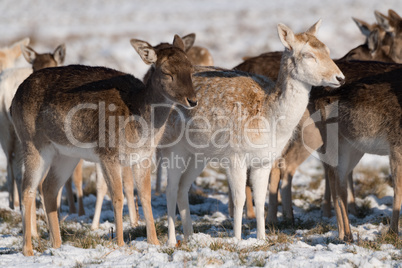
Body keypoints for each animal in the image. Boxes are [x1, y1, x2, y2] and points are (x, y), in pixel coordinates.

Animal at [160, 20, 346, 247]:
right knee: (170, 189)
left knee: (182, 188)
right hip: (173, 148)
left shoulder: (264, 160)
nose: (340, 77)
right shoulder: (235, 157)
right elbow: (239, 198)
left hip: (198, 155)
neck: (269, 119)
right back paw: (171, 240)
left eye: (327, 49)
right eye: (308, 54)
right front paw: (238, 239)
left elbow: (260, 198)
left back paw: (190, 237)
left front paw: (261, 238)